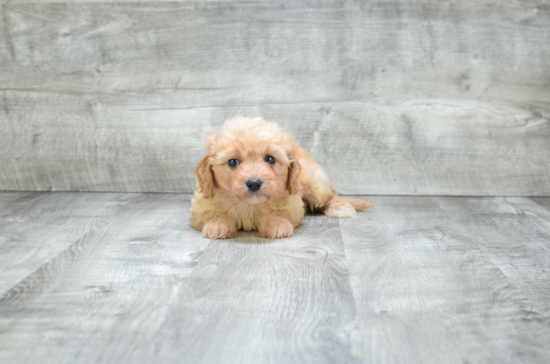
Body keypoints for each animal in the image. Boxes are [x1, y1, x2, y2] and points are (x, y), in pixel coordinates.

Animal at [190, 115, 376, 239]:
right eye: (233, 162)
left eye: (270, 159)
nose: (254, 183)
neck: (248, 205)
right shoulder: (200, 206)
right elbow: (212, 213)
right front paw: (217, 224)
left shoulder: (293, 204)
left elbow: (280, 213)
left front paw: (276, 224)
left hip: (314, 183)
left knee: (331, 194)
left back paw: (339, 207)